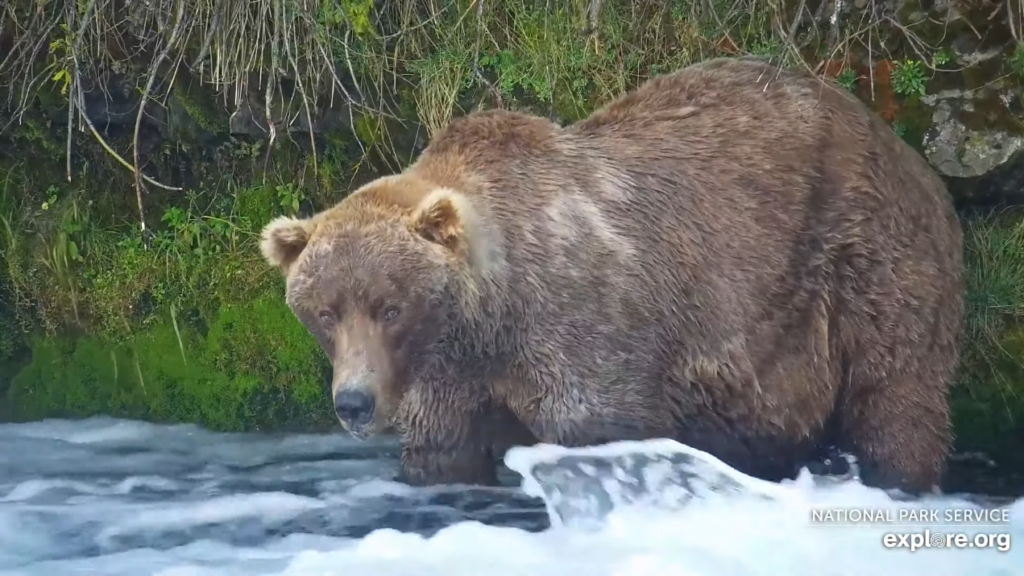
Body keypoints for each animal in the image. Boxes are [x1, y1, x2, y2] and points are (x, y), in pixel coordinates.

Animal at [260, 56, 962, 491]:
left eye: (389, 306)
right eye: (324, 311)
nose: (353, 402)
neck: (493, 320)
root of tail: (902, 148)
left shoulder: (584, 330)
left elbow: (600, 431)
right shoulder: (449, 380)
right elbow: (443, 454)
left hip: (867, 256)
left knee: (896, 396)